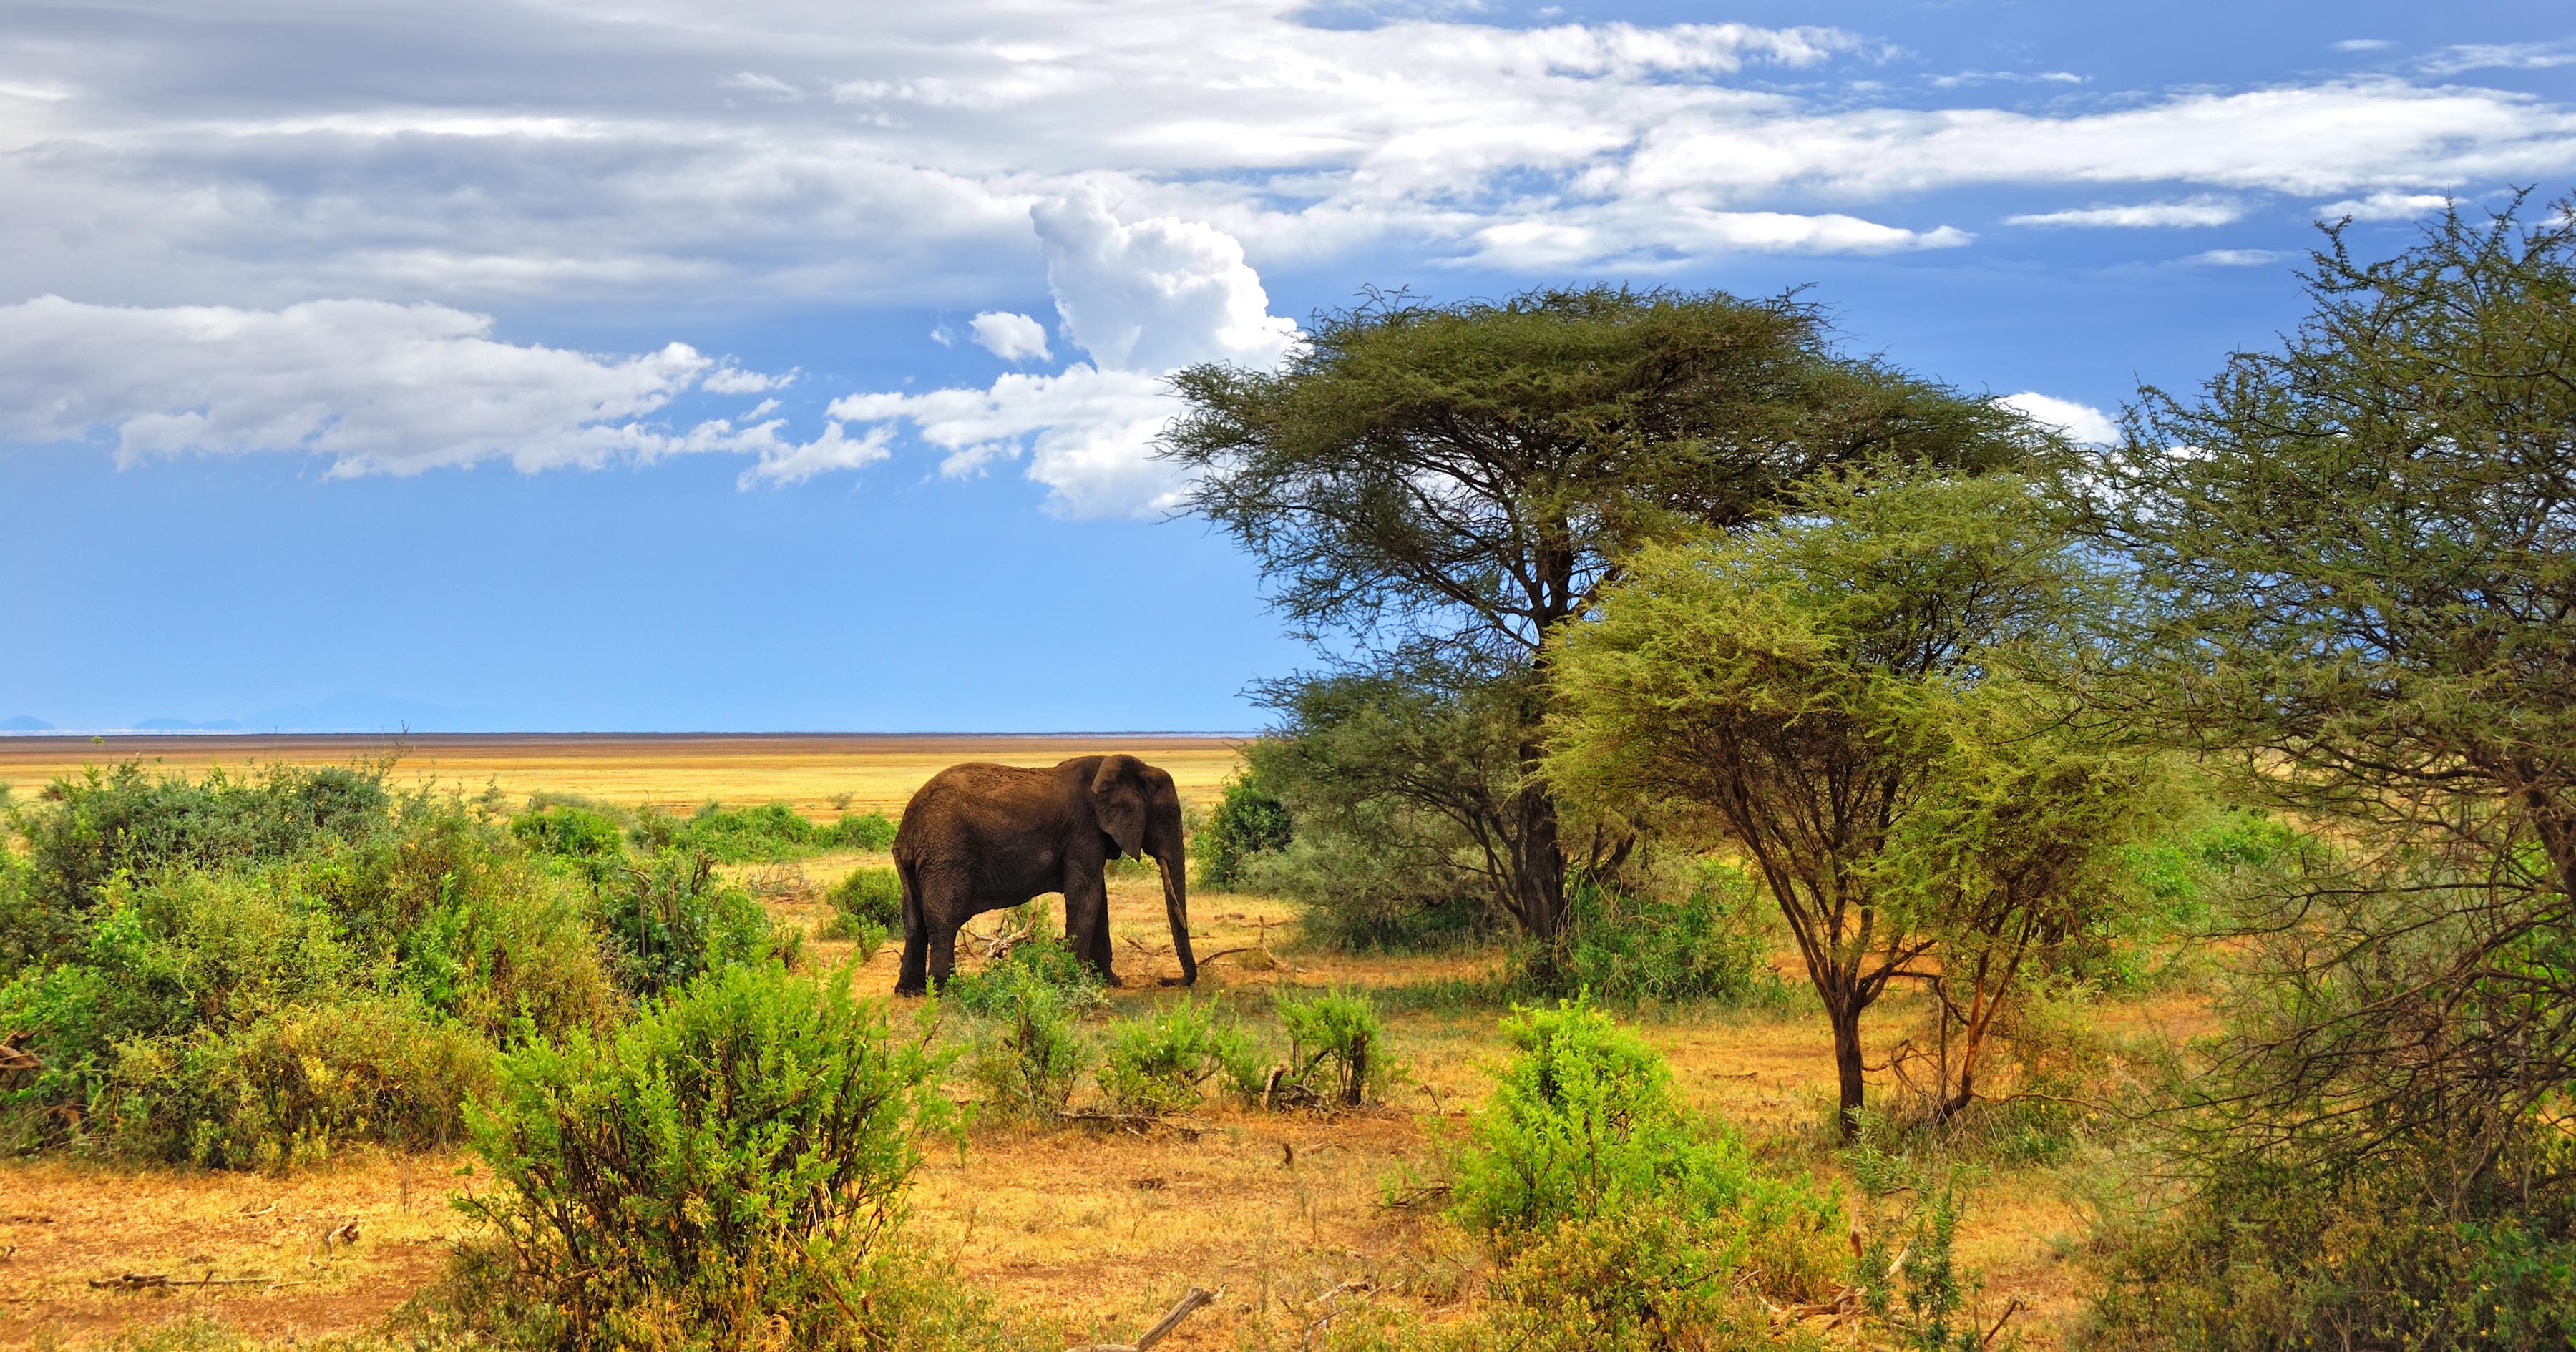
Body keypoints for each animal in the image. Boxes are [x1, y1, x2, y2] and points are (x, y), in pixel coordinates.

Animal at [892, 753, 1197, 996]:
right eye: (1168, 815)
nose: (1166, 980)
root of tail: (908, 827)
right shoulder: (1084, 833)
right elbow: (1086, 899)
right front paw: (1072, 981)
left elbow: (1099, 901)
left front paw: (1110, 982)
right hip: (946, 855)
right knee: (943, 919)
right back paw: (946, 991)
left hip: (917, 863)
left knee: (914, 920)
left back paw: (909, 991)